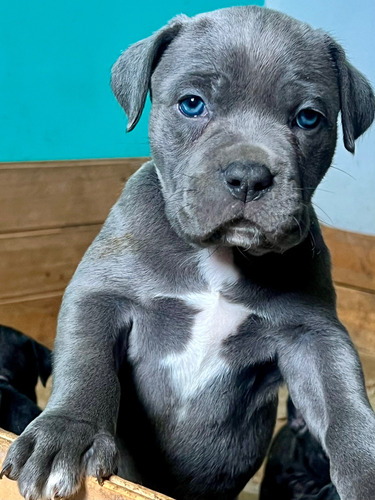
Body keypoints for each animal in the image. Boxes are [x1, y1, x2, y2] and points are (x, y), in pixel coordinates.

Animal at [0, 6, 375, 500]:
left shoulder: (311, 333)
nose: (248, 175)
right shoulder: (101, 294)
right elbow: (86, 363)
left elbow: (343, 399)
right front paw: (67, 436)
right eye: (192, 104)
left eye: (309, 118)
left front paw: (368, 471)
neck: (218, 255)